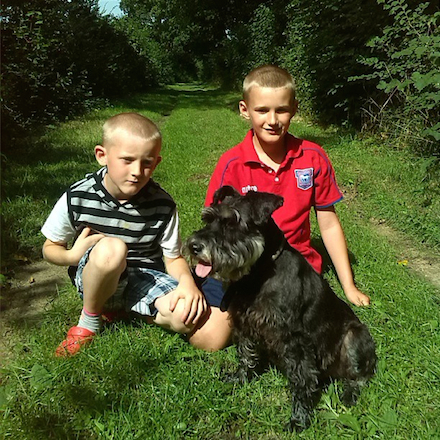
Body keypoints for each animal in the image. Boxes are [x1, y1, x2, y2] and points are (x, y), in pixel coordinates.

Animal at [184, 186, 376, 434]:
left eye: (232, 223)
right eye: (208, 219)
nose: (194, 246)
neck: (258, 273)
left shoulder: (294, 339)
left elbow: (302, 379)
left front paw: (299, 419)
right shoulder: (244, 323)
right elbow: (245, 355)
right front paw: (239, 379)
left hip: (354, 337)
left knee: (359, 376)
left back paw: (349, 394)